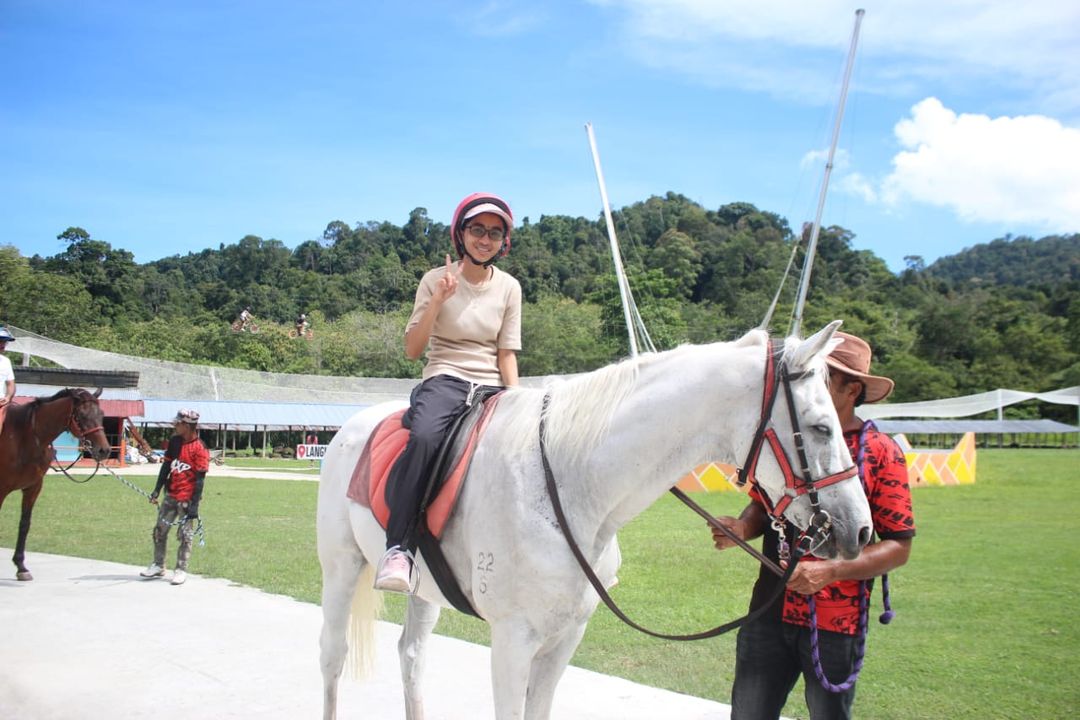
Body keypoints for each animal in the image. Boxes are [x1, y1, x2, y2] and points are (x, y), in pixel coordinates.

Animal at [0, 388, 109, 578]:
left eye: (101, 414)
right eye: (81, 416)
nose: (104, 450)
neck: (24, 437)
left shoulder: (33, 488)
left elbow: (24, 524)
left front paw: (21, 566)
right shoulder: (1, 488)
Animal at [315, 323, 872, 720]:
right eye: (821, 429)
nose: (860, 530)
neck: (569, 479)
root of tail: (352, 427)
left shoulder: (566, 636)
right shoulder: (513, 639)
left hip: (424, 590)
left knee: (412, 657)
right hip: (341, 569)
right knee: (333, 656)